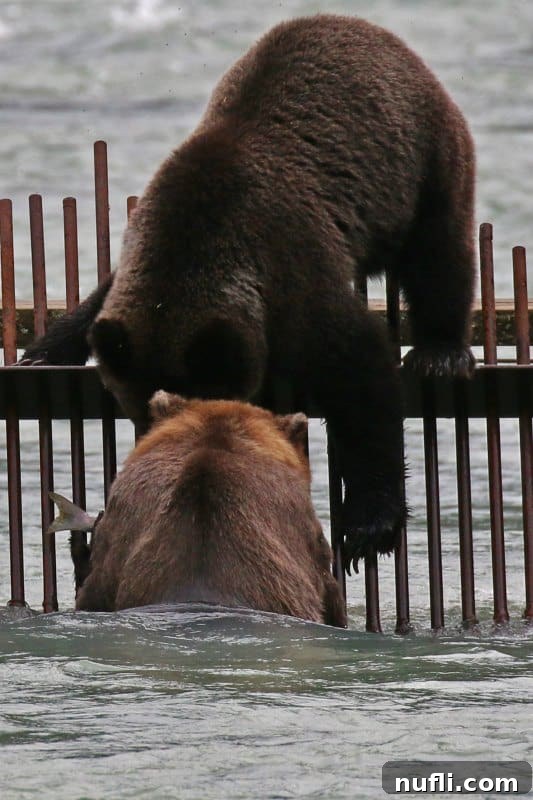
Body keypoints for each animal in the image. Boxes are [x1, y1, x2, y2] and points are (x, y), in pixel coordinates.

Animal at [21, 14, 476, 569]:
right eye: (139, 412)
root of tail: (372, 30)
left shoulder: (294, 275)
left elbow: (362, 373)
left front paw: (369, 524)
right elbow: (97, 303)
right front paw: (43, 350)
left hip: (421, 155)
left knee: (439, 250)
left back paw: (440, 350)